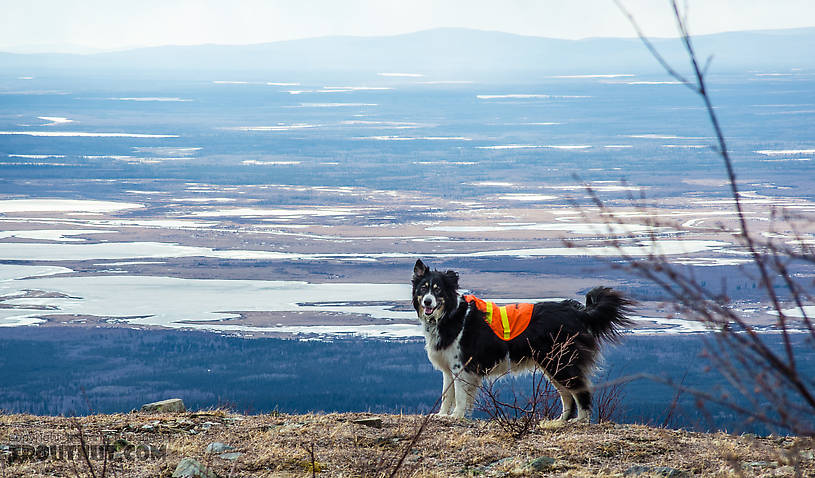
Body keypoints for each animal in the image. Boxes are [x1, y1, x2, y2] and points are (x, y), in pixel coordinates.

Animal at [412, 260, 636, 420]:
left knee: (581, 391)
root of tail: (578, 312)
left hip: (561, 362)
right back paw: (558, 422)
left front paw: (456, 416)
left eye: (438, 289)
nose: (427, 302)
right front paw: (442, 415)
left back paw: (581, 420)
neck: (450, 315)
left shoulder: (462, 367)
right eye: (423, 288)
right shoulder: (448, 368)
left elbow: (459, 395)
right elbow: (446, 394)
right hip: (551, 364)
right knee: (567, 395)